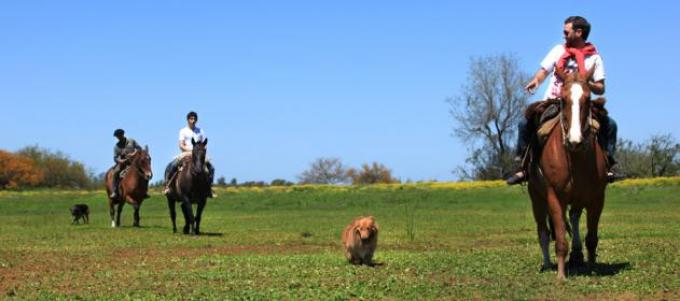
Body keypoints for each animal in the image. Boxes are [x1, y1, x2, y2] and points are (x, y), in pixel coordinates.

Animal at [528, 67, 608, 280]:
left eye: (588, 99)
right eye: (563, 100)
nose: (574, 141)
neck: (574, 158)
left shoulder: (597, 198)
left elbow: (591, 238)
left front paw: (592, 268)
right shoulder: (554, 197)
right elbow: (560, 238)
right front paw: (561, 275)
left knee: (573, 217)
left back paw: (577, 255)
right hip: (536, 198)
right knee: (544, 232)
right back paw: (549, 264)